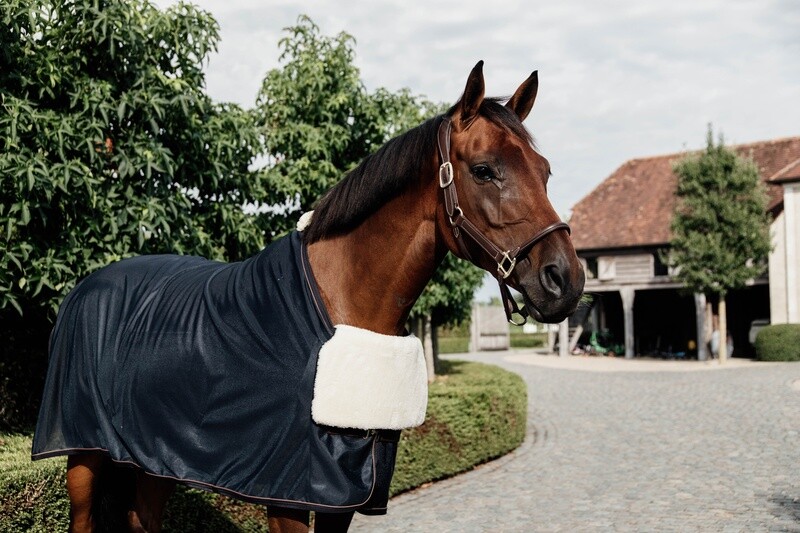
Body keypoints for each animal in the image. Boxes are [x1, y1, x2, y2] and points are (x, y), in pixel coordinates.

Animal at [32, 61, 584, 532]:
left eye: (545, 171)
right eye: (484, 169)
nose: (565, 279)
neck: (341, 307)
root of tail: (86, 286)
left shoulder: (347, 493)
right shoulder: (292, 495)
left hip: (156, 459)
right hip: (83, 457)